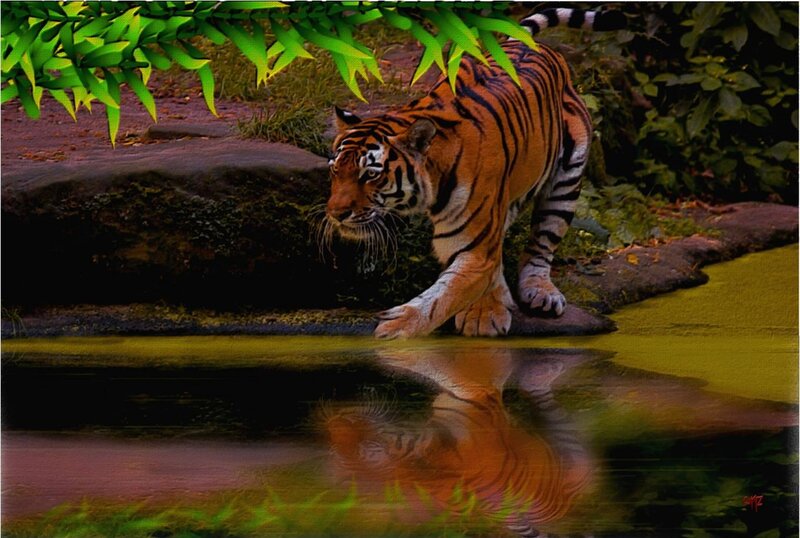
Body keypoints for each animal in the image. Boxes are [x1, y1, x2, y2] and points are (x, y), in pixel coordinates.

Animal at [324, 8, 626, 338]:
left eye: (370, 175)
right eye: (335, 170)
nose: (336, 214)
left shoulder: (473, 245)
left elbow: (442, 297)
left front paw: (394, 328)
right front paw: (485, 311)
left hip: (567, 180)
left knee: (541, 242)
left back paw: (539, 291)